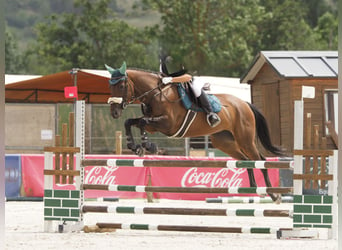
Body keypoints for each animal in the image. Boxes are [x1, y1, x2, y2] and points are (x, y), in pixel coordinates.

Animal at [105, 61, 284, 202]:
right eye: (110, 86)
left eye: (121, 86)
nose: (114, 112)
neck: (156, 94)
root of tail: (244, 103)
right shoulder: (153, 124)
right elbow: (131, 122)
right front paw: (137, 147)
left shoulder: (168, 125)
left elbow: (141, 122)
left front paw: (147, 146)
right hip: (224, 142)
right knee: (246, 160)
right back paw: (254, 188)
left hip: (245, 139)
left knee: (260, 160)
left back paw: (273, 194)